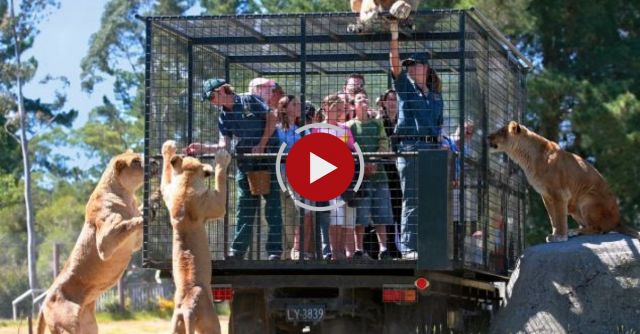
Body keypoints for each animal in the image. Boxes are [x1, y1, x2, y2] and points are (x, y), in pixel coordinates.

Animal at [38, 150, 146, 332]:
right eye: (136, 161)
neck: (126, 194)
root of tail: (44, 301)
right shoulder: (104, 243)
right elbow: (128, 223)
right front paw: (144, 215)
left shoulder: (135, 243)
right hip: (66, 326)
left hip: (89, 327)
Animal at [161, 140, 231, 334]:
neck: (186, 183)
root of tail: (187, 309)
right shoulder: (215, 204)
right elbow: (220, 181)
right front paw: (222, 158)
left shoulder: (168, 193)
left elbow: (165, 175)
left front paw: (168, 148)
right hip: (212, 325)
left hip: (176, 326)